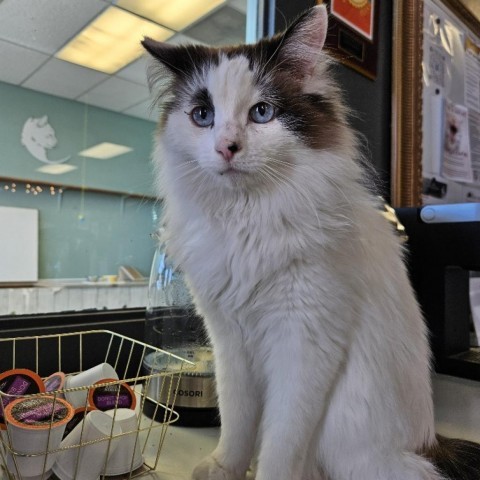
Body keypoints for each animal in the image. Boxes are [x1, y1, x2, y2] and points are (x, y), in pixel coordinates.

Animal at [142, 6, 480, 480]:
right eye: (202, 115)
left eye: (262, 112)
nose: (227, 147)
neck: (247, 219)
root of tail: (431, 445)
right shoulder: (229, 340)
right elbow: (236, 420)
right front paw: (226, 468)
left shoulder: (304, 342)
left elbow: (281, 443)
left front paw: (262, 474)